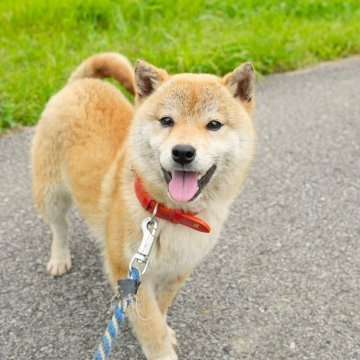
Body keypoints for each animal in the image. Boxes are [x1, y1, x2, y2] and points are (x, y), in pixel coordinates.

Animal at [31, 52, 256, 358]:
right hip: (51, 193)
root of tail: (80, 84)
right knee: (59, 226)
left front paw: (164, 328)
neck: (169, 214)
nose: (183, 152)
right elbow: (151, 328)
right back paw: (59, 258)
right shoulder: (129, 274)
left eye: (214, 125)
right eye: (167, 120)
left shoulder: (176, 271)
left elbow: (160, 310)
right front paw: (161, 350)